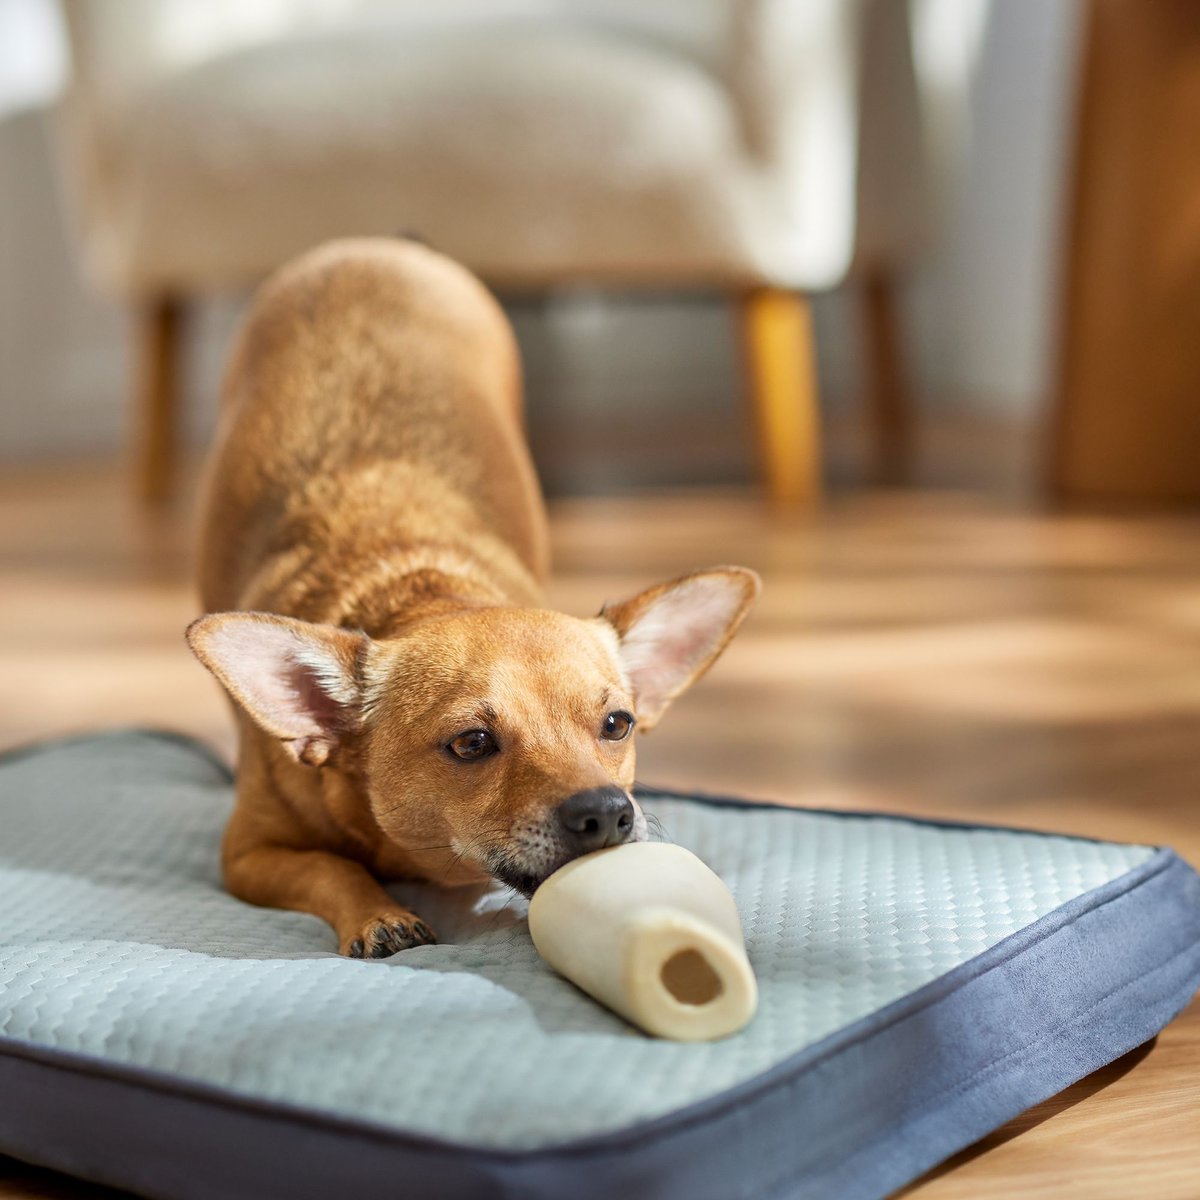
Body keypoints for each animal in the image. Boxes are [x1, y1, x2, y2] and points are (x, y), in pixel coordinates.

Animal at [189, 238, 758, 960]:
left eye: (617, 725)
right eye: (472, 744)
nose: (607, 811)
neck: (420, 584)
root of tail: (377, 246)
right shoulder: (247, 856)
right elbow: (330, 868)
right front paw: (380, 915)